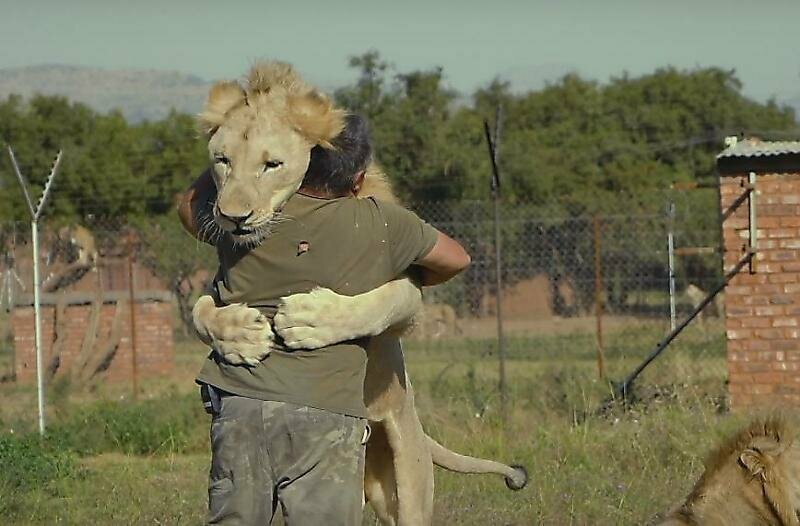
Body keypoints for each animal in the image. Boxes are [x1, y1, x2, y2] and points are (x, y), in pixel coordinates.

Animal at [185, 63, 528, 526]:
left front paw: (308, 320)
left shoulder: (408, 282)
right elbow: (200, 309)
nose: (232, 217)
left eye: (272, 164)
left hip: (408, 486)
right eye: (222, 161)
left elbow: (378, 303)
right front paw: (243, 336)